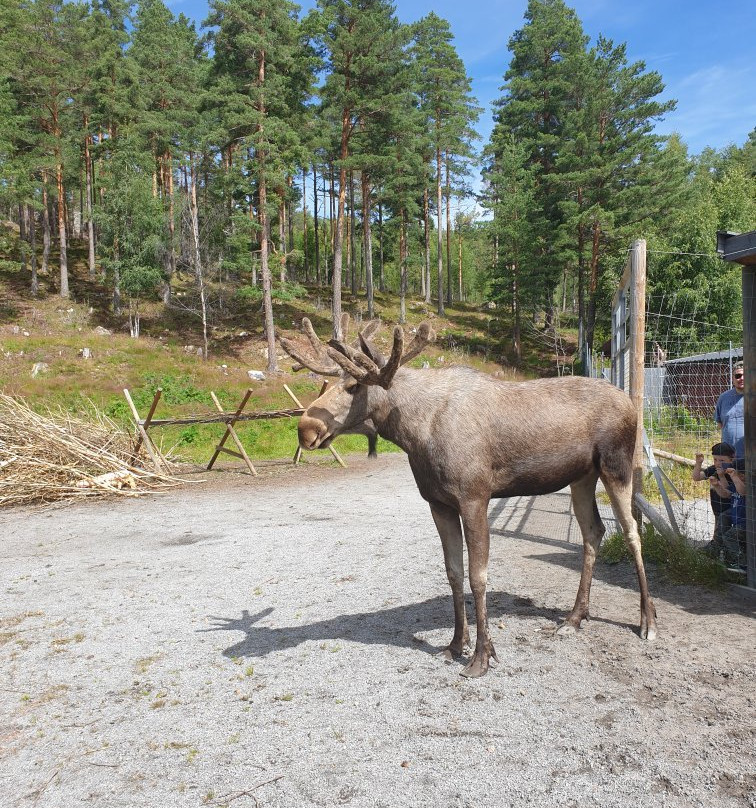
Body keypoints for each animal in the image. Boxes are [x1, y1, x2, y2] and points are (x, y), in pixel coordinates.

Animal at [280, 316, 656, 676]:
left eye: (354, 385)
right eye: (327, 383)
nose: (305, 429)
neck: (415, 433)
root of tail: (631, 403)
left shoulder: (474, 497)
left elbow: (478, 576)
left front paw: (482, 656)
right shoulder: (438, 503)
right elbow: (453, 572)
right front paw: (454, 644)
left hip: (616, 466)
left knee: (632, 532)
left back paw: (647, 621)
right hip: (581, 477)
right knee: (594, 532)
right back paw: (575, 617)